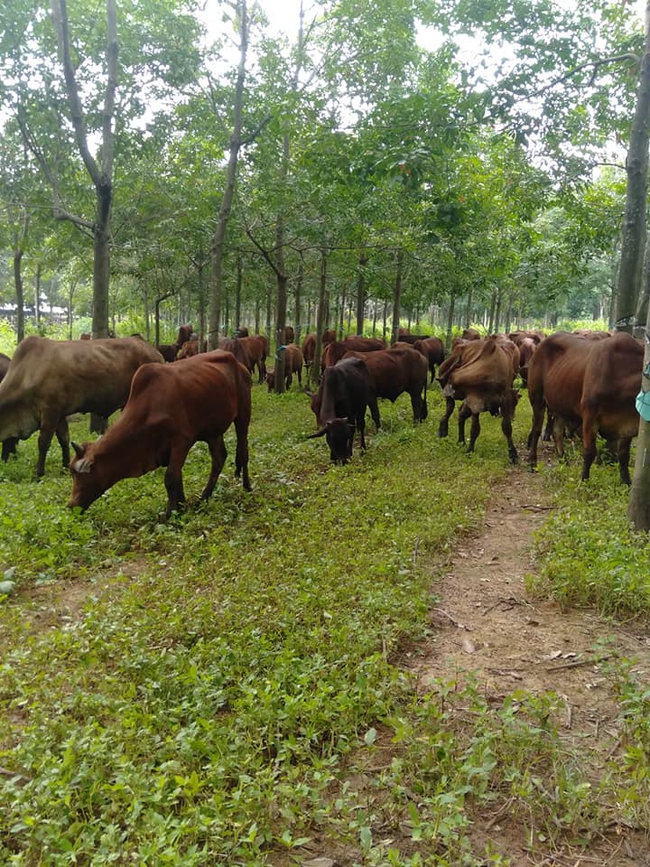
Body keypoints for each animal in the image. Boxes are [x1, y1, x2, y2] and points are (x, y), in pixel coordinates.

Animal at [0, 336, 162, 478]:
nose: (3, 461)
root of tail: (154, 351)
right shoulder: (60, 415)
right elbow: (64, 439)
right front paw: (65, 466)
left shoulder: (50, 412)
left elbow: (43, 442)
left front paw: (38, 474)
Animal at [68, 350, 251, 520]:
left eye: (78, 475)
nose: (70, 506)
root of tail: (239, 364)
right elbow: (177, 477)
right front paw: (180, 507)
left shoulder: (181, 441)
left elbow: (170, 478)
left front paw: (169, 513)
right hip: (212, 430)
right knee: (219, 458)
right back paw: (204, 497)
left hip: (243, 415)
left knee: (243, 451)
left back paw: (247, 487)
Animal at [438, 336, 520, 464]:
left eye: (516, 402)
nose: (513, 416)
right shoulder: (475, 402)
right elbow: (475, 429)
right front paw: (470, 450)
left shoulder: (505, 400)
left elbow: (507, 427)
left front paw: (513, 454)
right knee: (451, 408)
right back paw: (443, 428)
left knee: (459, 413)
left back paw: (460, 440)